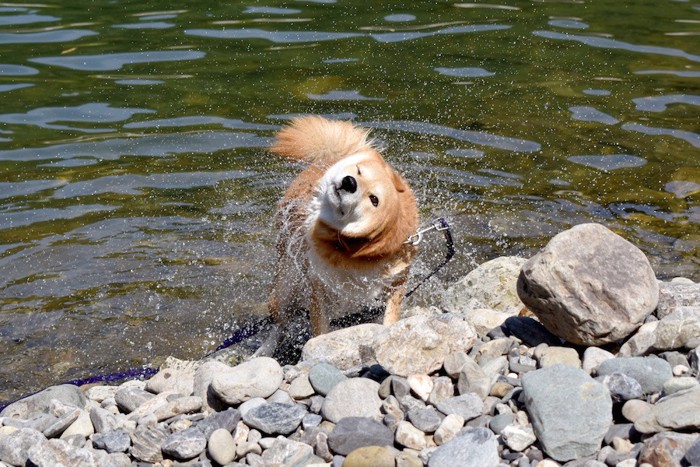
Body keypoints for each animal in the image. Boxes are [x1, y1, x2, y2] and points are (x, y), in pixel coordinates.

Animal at [264, 117, 418, 354]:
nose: (349, 182)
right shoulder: (317, 285)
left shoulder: (396, 281)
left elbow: (390, 318)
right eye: (359, 171)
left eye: (374, 199)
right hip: (286, 285)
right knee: (280, 322)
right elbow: (320, 329)